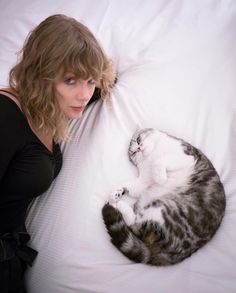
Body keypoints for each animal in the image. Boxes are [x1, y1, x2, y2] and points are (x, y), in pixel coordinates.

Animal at [102, 128, 227, 264]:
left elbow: (160, 161)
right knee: (134, 224)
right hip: (161, 210)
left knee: (135, 225)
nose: (139, 148)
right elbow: (131, 186)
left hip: (164, 209)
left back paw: (119, 205)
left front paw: (160, 177)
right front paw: (116, 192)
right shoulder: (143, 181)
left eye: (138, 140)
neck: (152, 155)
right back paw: (116, 203)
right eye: (134, 152)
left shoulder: (185, 157)